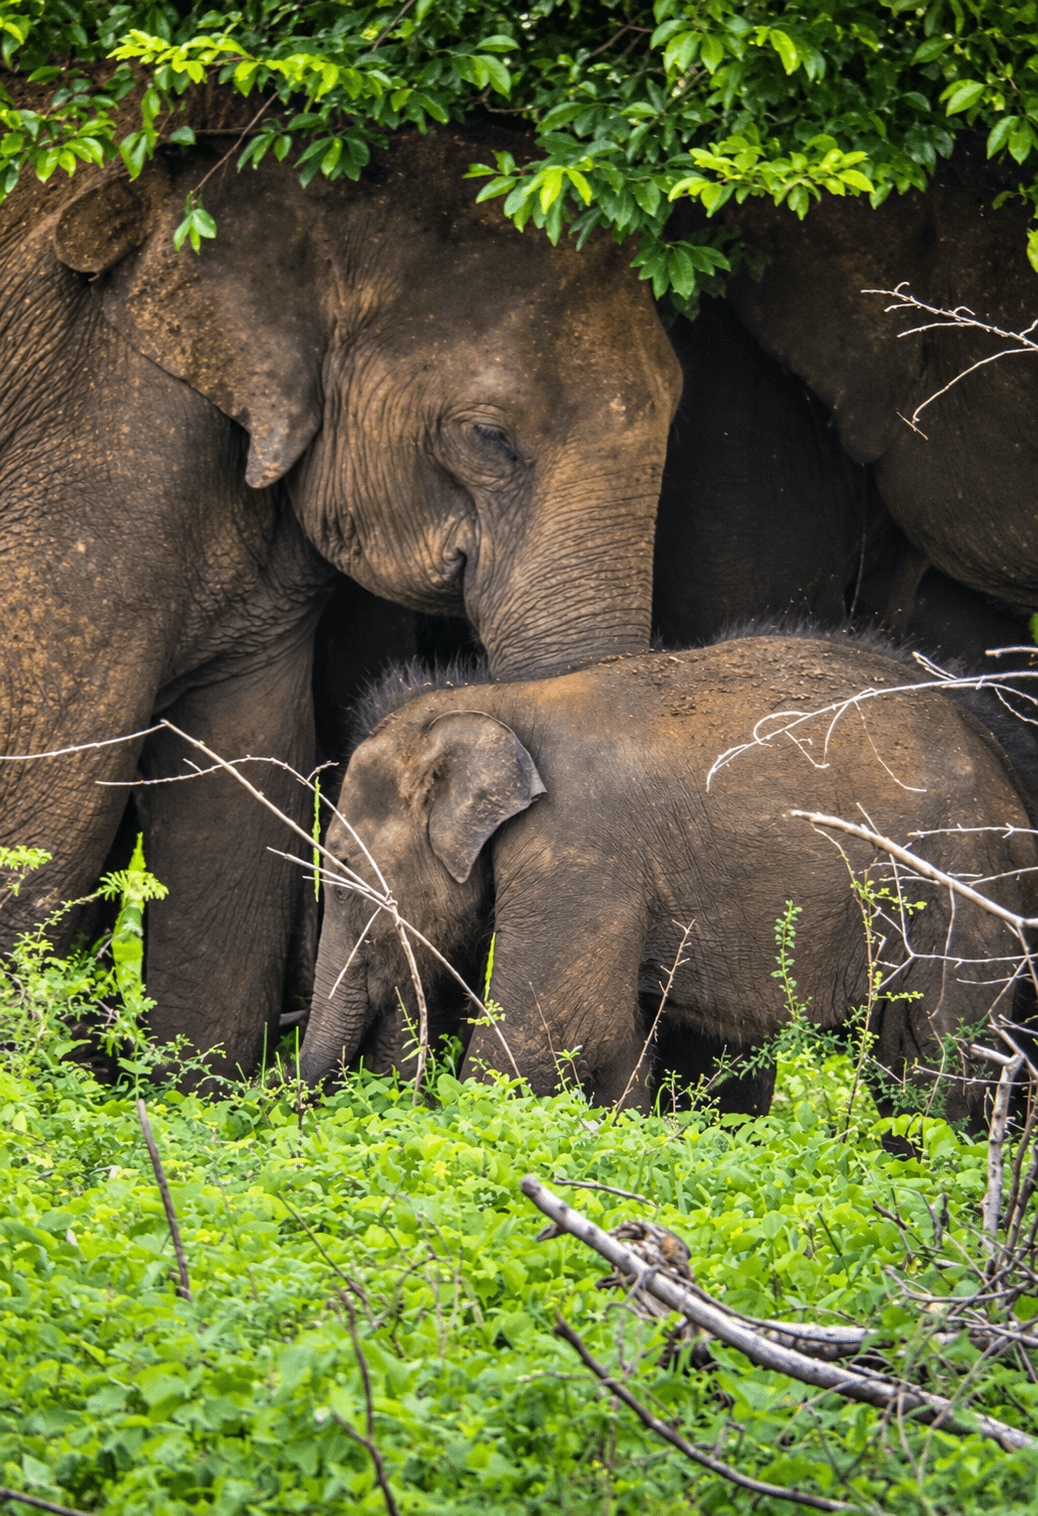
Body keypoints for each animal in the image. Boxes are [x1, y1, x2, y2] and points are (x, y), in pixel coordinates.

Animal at [299, 631, 1038, 1128]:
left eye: (343, 866)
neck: (496, 702)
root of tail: (1009, 765)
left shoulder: (579, 853)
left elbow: (552, 1032)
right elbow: (615, 1043)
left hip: (963, 895)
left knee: (934, 1063)